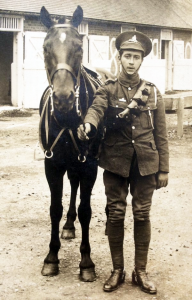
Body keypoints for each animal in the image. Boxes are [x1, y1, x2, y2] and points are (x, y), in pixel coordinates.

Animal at [39, 4, 112, 282]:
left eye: (79, 46)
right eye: (45, 48)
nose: (63, 99)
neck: (68, 120)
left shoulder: (89, 166)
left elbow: (86, 210)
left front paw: (86, 262)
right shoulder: (53, 166)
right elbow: (55, 208)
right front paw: (51, 257)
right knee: (73, 188)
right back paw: (69, 226)